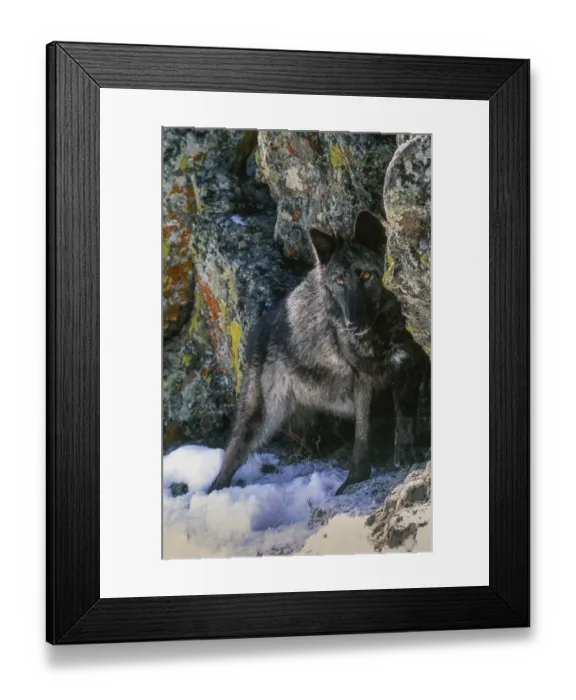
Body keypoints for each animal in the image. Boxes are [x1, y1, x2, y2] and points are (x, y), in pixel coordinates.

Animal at [209, 210, 430, 495]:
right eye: (339, 280)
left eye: (366, 276)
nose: (351, 325)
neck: (385, 332)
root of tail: (263, 324)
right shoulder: (363, 382)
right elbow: (362, 435)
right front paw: (354, 479)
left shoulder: (411, 368)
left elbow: (405, 417)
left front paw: (405, 456)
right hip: (260, 418)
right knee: (229, 459)